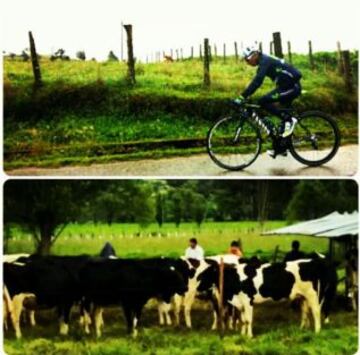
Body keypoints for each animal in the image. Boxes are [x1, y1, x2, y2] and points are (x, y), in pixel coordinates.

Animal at [197, 258, 338, 338]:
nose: (197, 286)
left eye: (207, 273)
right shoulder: (241, 303)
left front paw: (249, 336)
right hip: (303, 297)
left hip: (313, 295)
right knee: (305, 312)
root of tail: (313, 262)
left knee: (316, 312)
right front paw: (242, 335)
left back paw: (317, 331)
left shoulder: (248, 301)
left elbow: (248, 320)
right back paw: (302, 329)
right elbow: (242, 320)